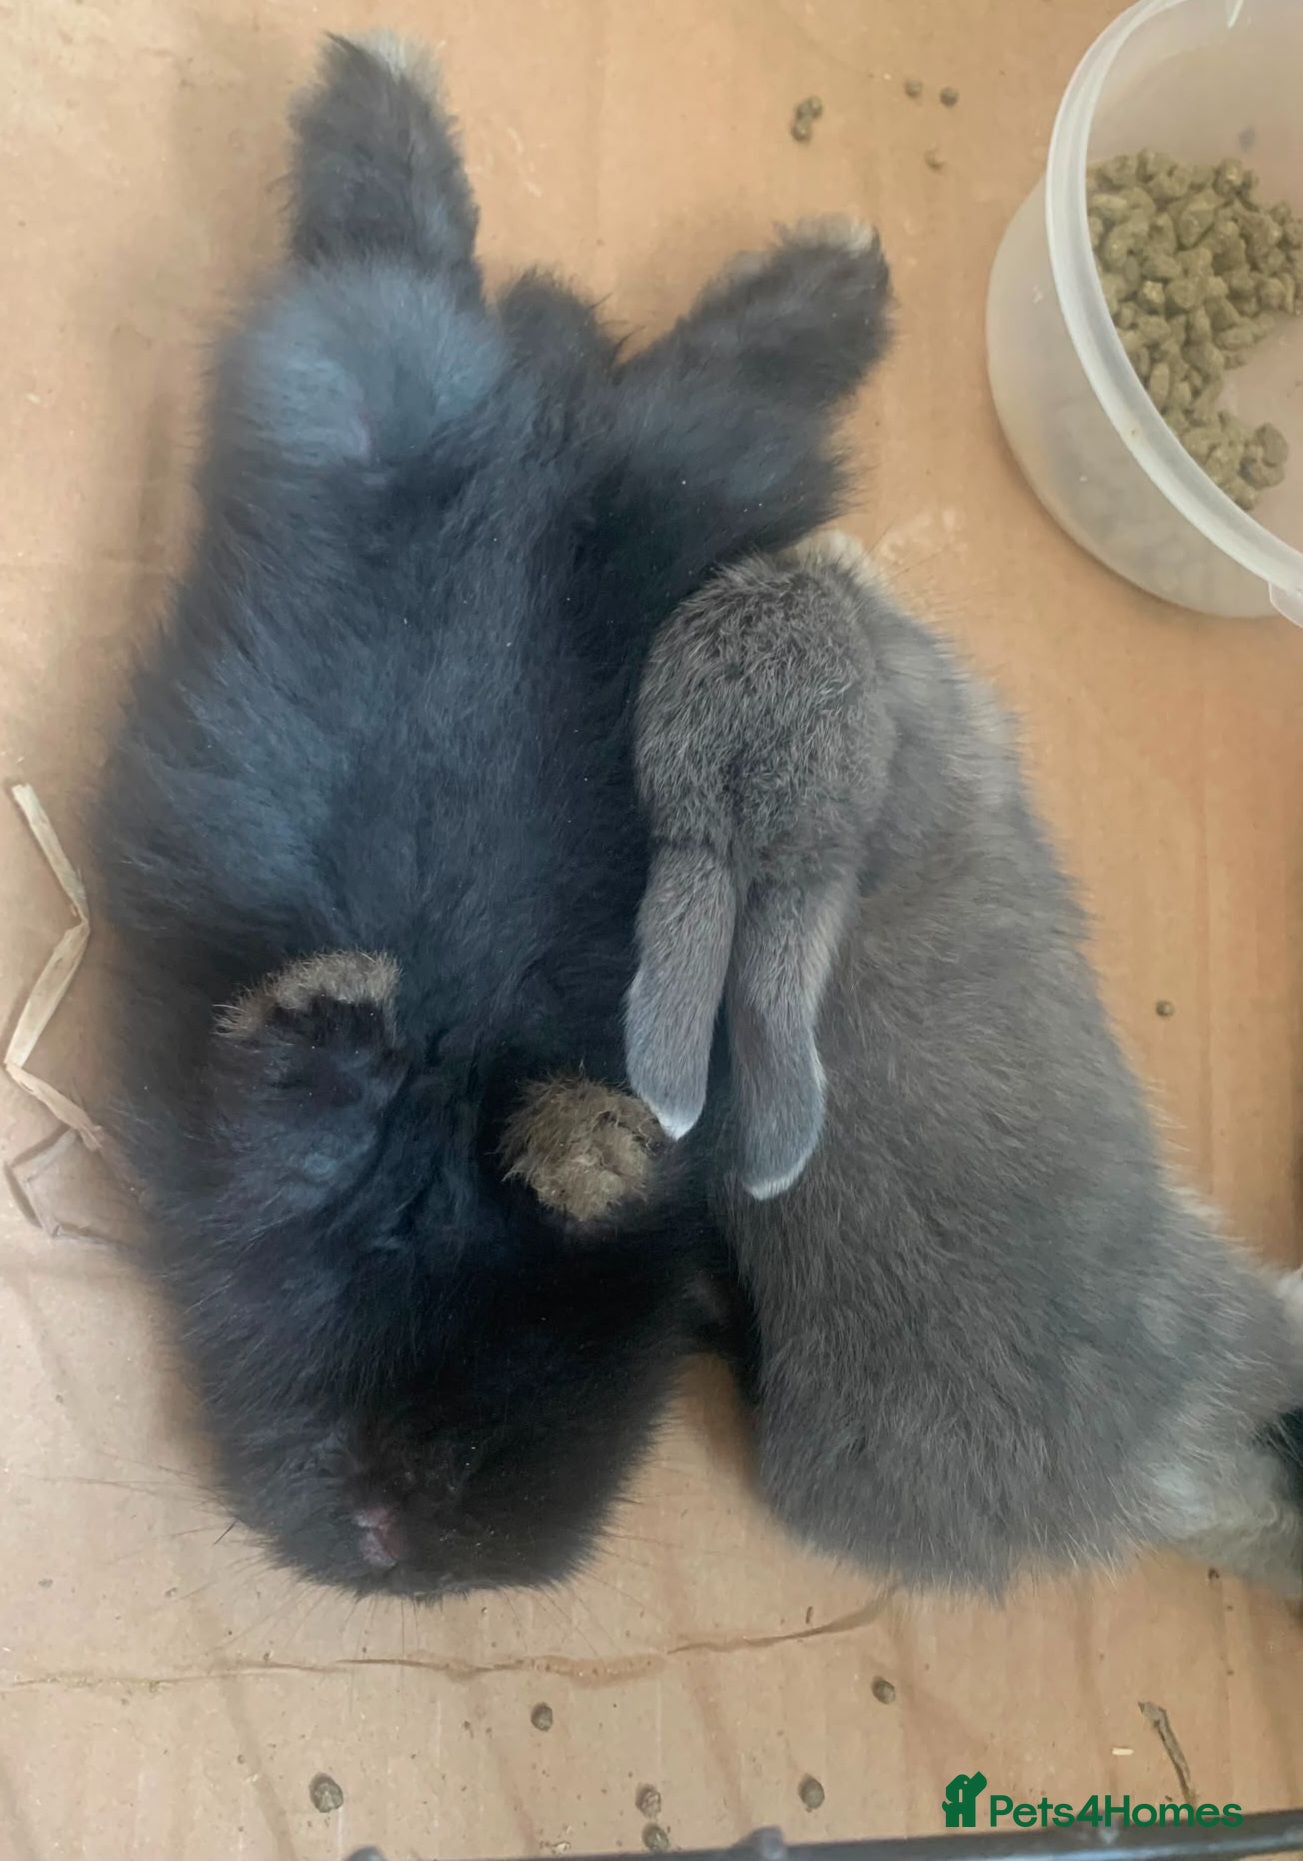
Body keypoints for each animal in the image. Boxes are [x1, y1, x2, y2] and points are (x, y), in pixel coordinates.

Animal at [90, 35, 892, 1597]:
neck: (429, 1204)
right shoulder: (246, 1168)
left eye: (481, 1451)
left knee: (512, 292)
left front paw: (589, 1134)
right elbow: (295, 1102)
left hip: (580, 447)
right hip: (402, 410)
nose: (399, 1530)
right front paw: (353, 1006)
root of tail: (549, 391)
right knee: (412, 253)